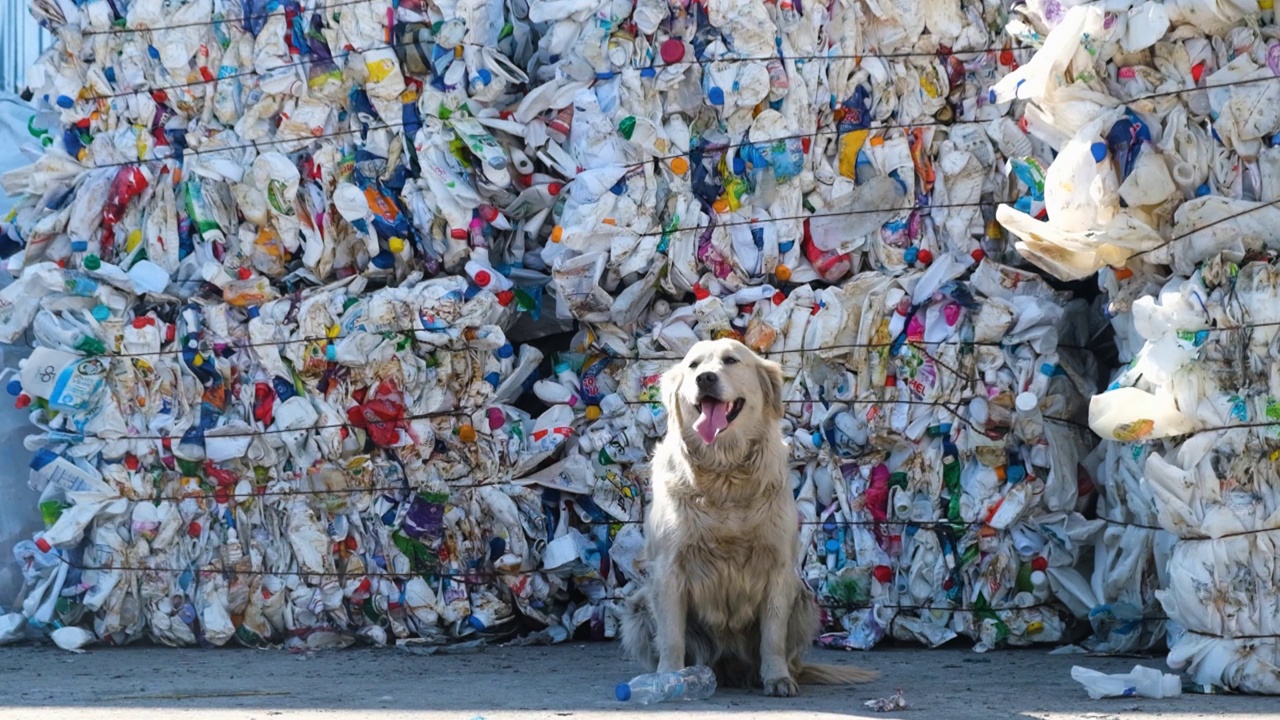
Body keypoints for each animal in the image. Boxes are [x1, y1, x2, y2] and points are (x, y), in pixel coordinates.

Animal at [622, 338, 880, 696]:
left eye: (731, 360)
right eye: (693, 365)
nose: (705, 379)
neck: (725, 475)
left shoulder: (777, 567)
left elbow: (772, 637)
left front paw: (777, 678)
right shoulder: (669, 568)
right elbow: (671, 635)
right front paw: (670, 678)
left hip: (804, 600)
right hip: (638, 607)